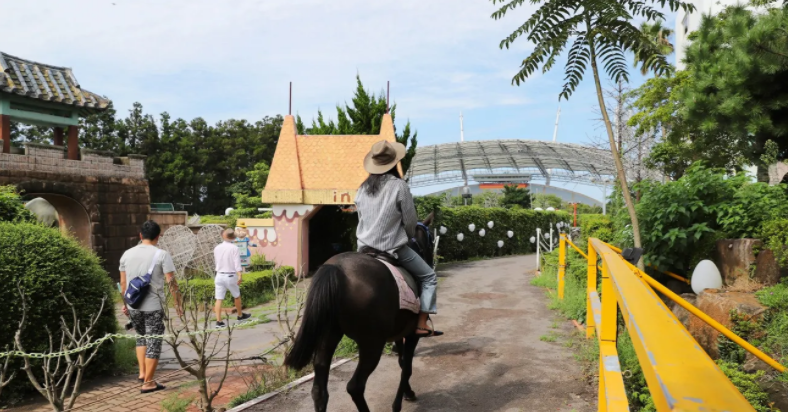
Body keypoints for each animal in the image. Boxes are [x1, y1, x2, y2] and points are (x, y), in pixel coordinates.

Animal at [284, 213, 435, 412]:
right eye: (432, 240)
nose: (431, 262)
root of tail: (337, 268)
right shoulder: (412, 334)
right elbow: (407, 367)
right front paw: (398, 403)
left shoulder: (399, 332)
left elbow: (402, 362)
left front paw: (408, 393)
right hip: (372, 344)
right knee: (355, 386)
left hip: (329, 335)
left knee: (319, 389)